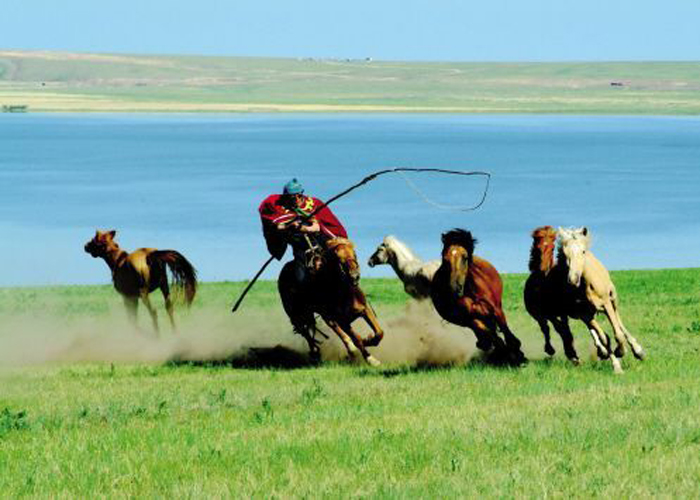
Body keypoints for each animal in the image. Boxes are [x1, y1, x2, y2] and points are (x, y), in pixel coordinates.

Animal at [278, 236, 382, 366]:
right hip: (296, 314)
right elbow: (357, 339)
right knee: (305, 331)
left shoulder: (365, 310)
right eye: (337, 258)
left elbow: (379, 333)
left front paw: (368, 340)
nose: (354, 276)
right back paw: (315, 353)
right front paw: (370, 358)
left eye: (354, 253)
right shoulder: (342, 320)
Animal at [432, 229, 524, 366]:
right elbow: (491, 335)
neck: (472, 291)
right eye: (445, 259)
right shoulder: (472, 318)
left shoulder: (496, 310)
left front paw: (518, 355)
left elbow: (506, 331)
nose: (455, 288)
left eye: (464, 257)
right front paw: (508, 355)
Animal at [556, 229, 648, 374]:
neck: (587, 283)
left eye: (583, 251)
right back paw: (603, 352)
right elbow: (604, 338)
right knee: (597, 333)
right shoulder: (584, 313)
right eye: (565, 254)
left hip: (613, 300)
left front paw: (621, 351)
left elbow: (618, 333)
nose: (573, 279)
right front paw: (616, 365)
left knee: (619, 322)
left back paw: (638, 350)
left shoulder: (606, 304)